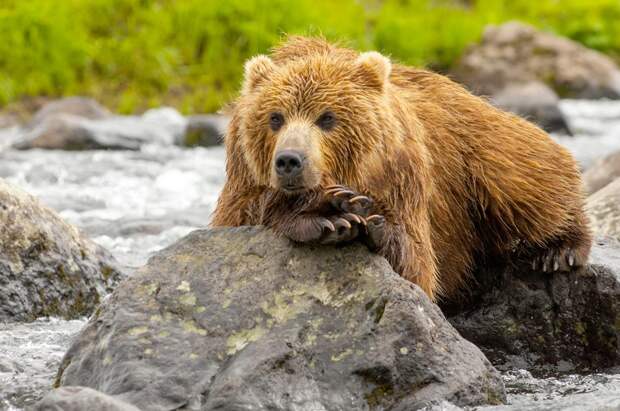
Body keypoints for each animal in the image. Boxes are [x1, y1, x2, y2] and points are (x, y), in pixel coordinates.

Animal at [211, 37, 592, 302]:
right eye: (275, 117)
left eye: (327, 118)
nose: (290, 161)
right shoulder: (243, 176)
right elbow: (244, 216)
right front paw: (330, 215)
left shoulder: (402, 173)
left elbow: (416, 267)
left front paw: (357, 216)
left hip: (476, 149)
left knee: (523, 180)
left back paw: (560, 249)